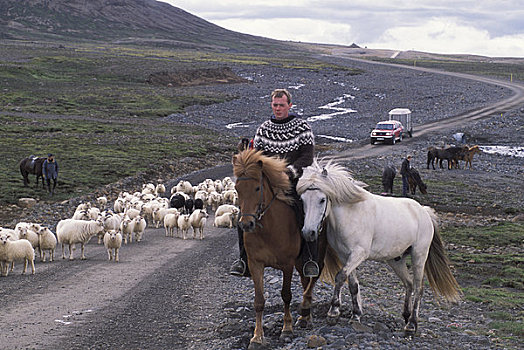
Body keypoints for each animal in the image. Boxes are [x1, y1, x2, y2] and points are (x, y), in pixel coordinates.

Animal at [232, 149, 326, 348]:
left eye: (257, 188)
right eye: (237, 188)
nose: (246, 224)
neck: (269, 229)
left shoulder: (287, 265)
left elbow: (286, 295)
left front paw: (286, 329)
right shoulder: (255, 264)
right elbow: (259, 301)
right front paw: (257, 337)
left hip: (316, 253)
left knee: (312, 278)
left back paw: (306, 312)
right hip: (299, 261)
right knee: (305, 281)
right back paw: (305, 317)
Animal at [296, 160, 460, 334]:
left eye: (322, 200)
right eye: (302, 200)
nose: (308, 233)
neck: (351, 213)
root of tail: (424, 212)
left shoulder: (359, 254)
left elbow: (340, 277)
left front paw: (333, 312)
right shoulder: (345, 256)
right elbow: (353, 284)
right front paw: (356, 315)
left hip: (419, 256)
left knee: (418, 287)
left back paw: (412, 324)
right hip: (396, 260)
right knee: (408, 283)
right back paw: (406, 316)